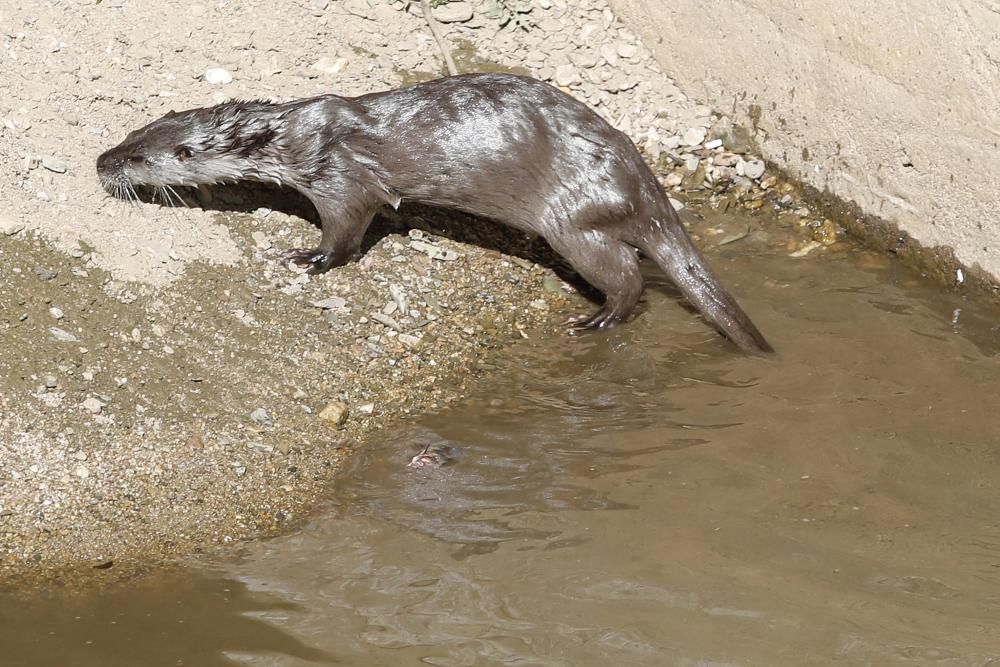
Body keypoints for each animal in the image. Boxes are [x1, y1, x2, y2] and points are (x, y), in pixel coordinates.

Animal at [97, 72, 772, 354]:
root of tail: (640, 178)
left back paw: (597, 320)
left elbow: (347, 231)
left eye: (137, 158)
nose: (102, 162)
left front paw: (309, 258)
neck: (292, 141)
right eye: (130, 134)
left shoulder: (339, 182)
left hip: (571, 219)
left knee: (628, 275)